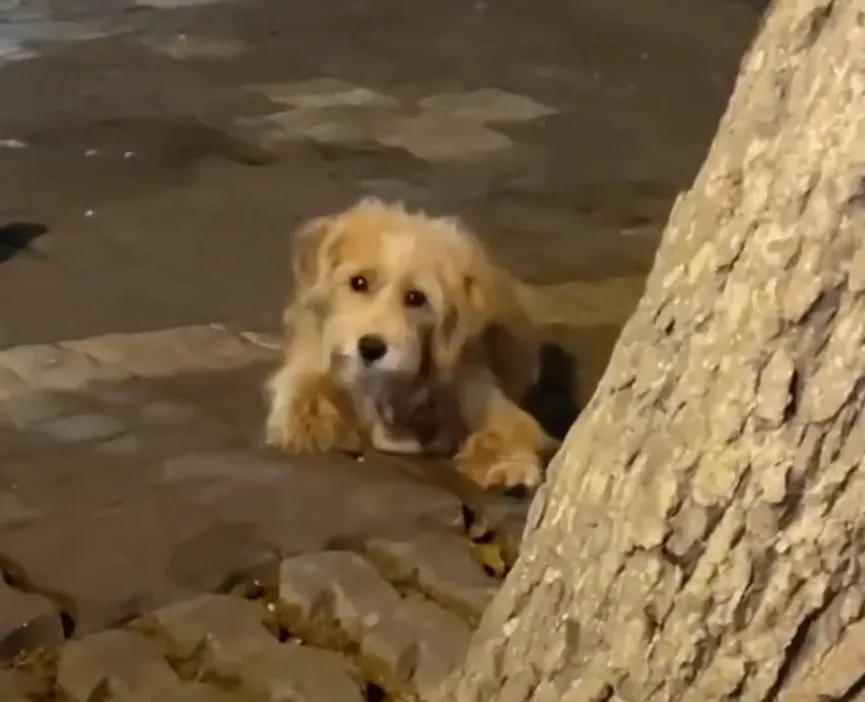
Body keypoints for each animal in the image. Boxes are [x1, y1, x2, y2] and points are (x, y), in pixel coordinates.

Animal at [264, 198, 560, 492]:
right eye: (358, 282)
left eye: (416, 298)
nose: (371, 348)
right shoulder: (306, 376)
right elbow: (308, 406)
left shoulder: (479, 392)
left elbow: (507, 428)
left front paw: (508, 464)